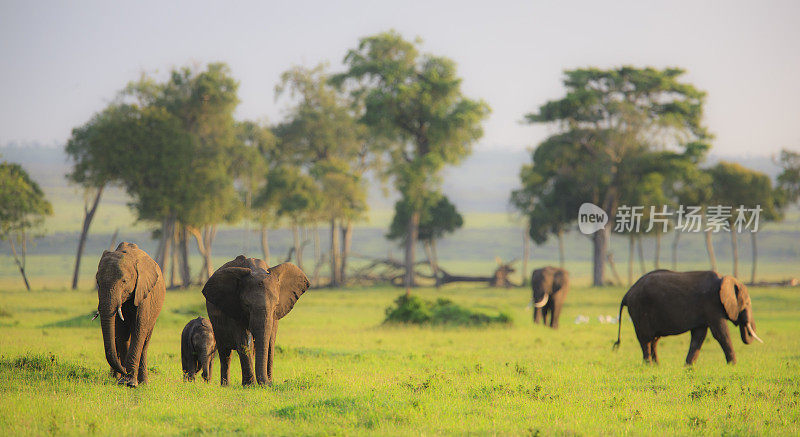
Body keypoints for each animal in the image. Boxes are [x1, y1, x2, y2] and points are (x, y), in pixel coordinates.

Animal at [93, 240, 163, 386]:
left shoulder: (143, 292)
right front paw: (123, 381)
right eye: (98, 282)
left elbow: (139, 328)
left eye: (124, 281)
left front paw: (130, 383)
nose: (123, 371)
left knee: (145, 342)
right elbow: (121, 331)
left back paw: (143, 383)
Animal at [200, 255, 310, 384]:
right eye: (247, 305)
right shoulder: (235, 307)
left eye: (276, 306)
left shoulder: (275, 316)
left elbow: (270, 343)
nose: (268, 384)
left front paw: (268, 383)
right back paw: (225, 385)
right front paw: (250, 385)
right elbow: (243, 341)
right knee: (225, 353)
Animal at [616, 270, 764, 364]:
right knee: (646, 339)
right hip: (639, 309)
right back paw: (649, 365)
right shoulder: (712, 304)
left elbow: (699, 337)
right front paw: (733, 365)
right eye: (747, 304)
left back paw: (657, 366)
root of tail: (627, 293)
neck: (724, 279)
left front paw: (688, 367)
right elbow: (721, 334)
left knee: (654, 340)